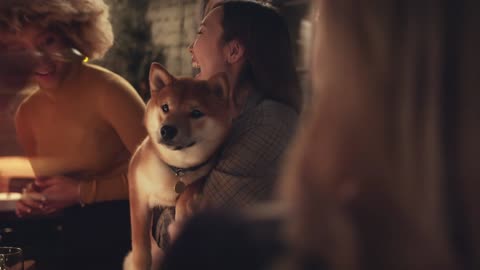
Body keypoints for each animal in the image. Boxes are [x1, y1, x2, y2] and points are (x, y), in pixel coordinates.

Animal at [124, 62, 234, 268]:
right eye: (165, 107)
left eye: (196, 112)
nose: (167, 130)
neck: (176, 168)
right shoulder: (138, 193)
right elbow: (140, 243)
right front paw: (141, 263)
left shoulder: (205, 170)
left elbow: (190, 190)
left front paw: (184, 211)